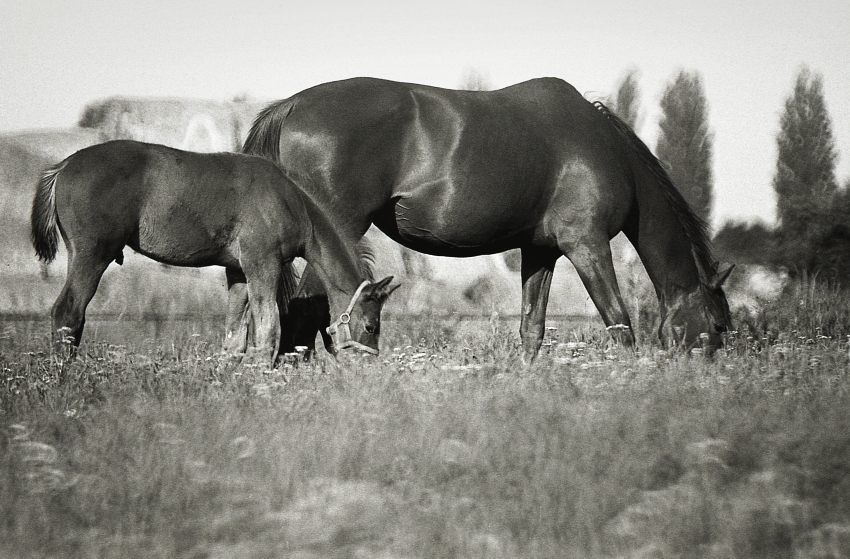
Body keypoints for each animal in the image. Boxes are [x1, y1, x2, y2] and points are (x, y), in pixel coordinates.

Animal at [29, 142, 394, 366]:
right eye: (371, 326)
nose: (369, 365)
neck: (292, 201)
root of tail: (62, 166)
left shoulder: (238, 272)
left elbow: (234, 337)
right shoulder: (262, 264)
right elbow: (268, 328)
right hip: (93, 255)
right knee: (68, 312)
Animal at [242, 77, 732, 358]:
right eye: (716, 327)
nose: (704, 374)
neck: (605, 149)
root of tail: (291, 105)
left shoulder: (540, 253)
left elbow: (532, 329)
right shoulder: (587, 246)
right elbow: (620, 323)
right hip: (336, 233)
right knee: (304, 316)